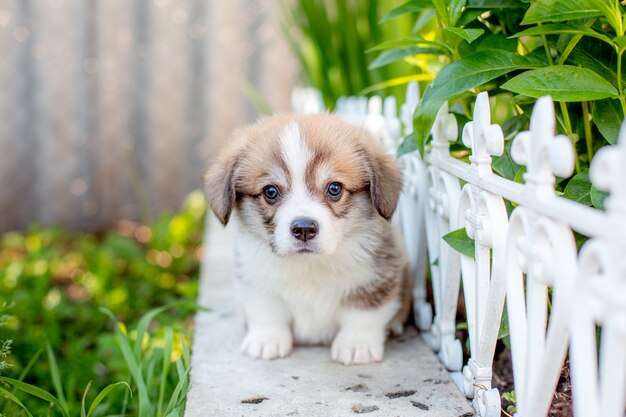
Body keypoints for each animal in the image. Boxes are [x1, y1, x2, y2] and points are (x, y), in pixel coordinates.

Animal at [205, 112, 408, 362]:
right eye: (270, 192)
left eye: (334, 188)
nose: (303, 229)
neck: (310, 264)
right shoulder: (256, 280)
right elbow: (266, 311)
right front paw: (266, 340)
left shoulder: (376, 278)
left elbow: (363, 313)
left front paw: (356, 344)